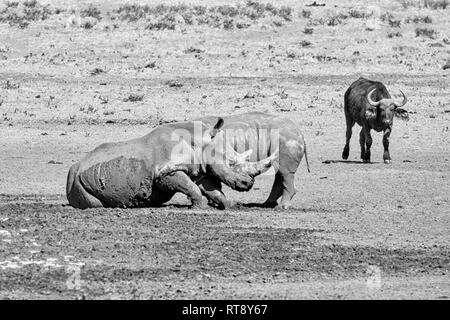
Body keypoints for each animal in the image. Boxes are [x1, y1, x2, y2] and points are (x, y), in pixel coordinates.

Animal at [67, 117, 276, 210]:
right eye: (231, 163)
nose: (248, 184)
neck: (200, 140)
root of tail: (75, 166)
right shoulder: (165, 172)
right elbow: (191, 187)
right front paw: (200, 207)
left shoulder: (200, 169)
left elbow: (212, 189)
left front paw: (229, 205)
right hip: (75, 180)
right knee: (92, 202)